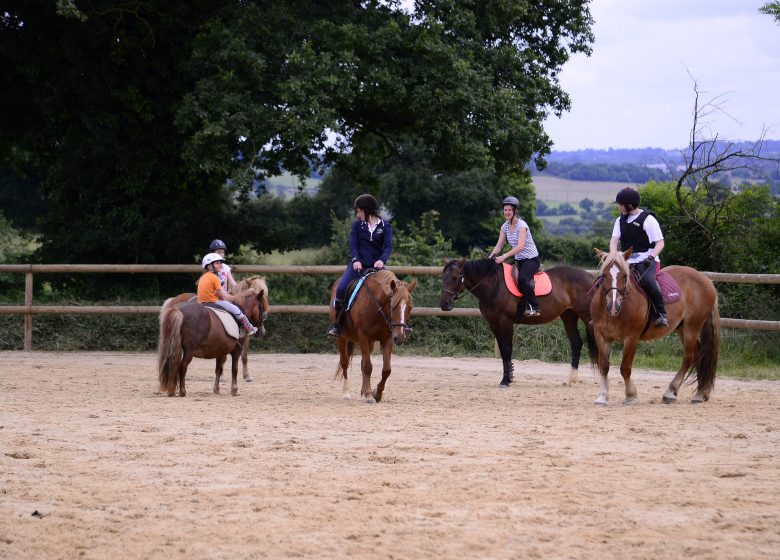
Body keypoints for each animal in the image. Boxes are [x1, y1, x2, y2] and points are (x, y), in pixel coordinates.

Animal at [330, 270, 418, 402]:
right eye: (393, 306)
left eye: (410, 307)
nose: (400, 338)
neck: (377, 306)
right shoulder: (363, 336)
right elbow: (368, 366)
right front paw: (369, 394)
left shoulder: (387, 339)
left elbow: (386, 370)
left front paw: (376, 393)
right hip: (342, 337)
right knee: (344, 362)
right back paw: (346, 393)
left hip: (371, 342)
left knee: (362, 363)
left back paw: (363, 392)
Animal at [438, 258, 596, 384]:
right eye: (443, 277)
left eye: (455, 277)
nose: (444, 304)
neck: (493, 286)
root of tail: (589, 276)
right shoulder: (493, 323)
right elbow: (503, 351)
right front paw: (508, 377)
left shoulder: (506, 321)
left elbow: (507, 349)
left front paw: (506, 380)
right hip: (568, 315)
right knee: (576, 343)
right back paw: (571, 379)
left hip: (587, 317)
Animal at [592, 252, 720, 404]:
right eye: (604, 275)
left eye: (624, 276)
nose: (613, 306)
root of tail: (706, 280)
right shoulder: (601, 335)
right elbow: (604, 366)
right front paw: (602, 396)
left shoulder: (632, 338)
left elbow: (625, 368)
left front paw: (631, 395)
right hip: (682, 328)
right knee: (699, 352)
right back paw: (700, 393)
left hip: (692, 326)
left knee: (689, 356)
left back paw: (671, 392)